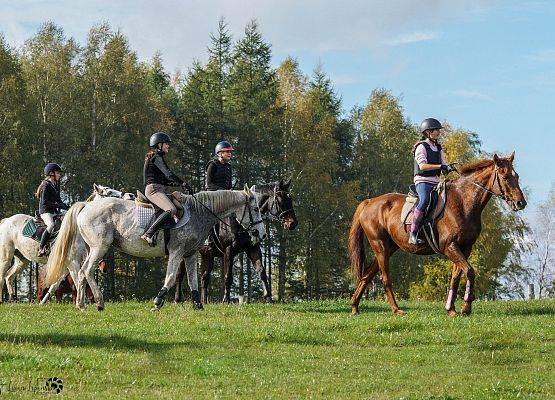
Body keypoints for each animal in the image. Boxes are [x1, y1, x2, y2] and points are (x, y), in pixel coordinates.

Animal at [44, 186, 266, 310]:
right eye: (255, 209)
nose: (261, 235)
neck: (199, 213)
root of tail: (86, 206)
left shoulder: (190, 254)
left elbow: (193, 280)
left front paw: (197, 304)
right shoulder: (177, 252)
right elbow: (171, 277)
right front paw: (158, 301)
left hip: (93, 248)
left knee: (81, 273)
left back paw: (81, 304)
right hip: (100, 247)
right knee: (86, 271)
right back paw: (98, 302)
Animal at [350, 153, 528, 316]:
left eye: (517, 176)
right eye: (505, 177)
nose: (521, 203)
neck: (463, 202)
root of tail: (369, 202)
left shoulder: (465, 248)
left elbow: (456, 277)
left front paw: (451, 309)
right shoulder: (450, 246)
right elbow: (470, 272)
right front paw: (466, 307)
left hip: (389, 247)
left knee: (367, 275)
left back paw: (354, 307)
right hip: (379, 245)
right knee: (385, 277)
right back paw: (396, 309)